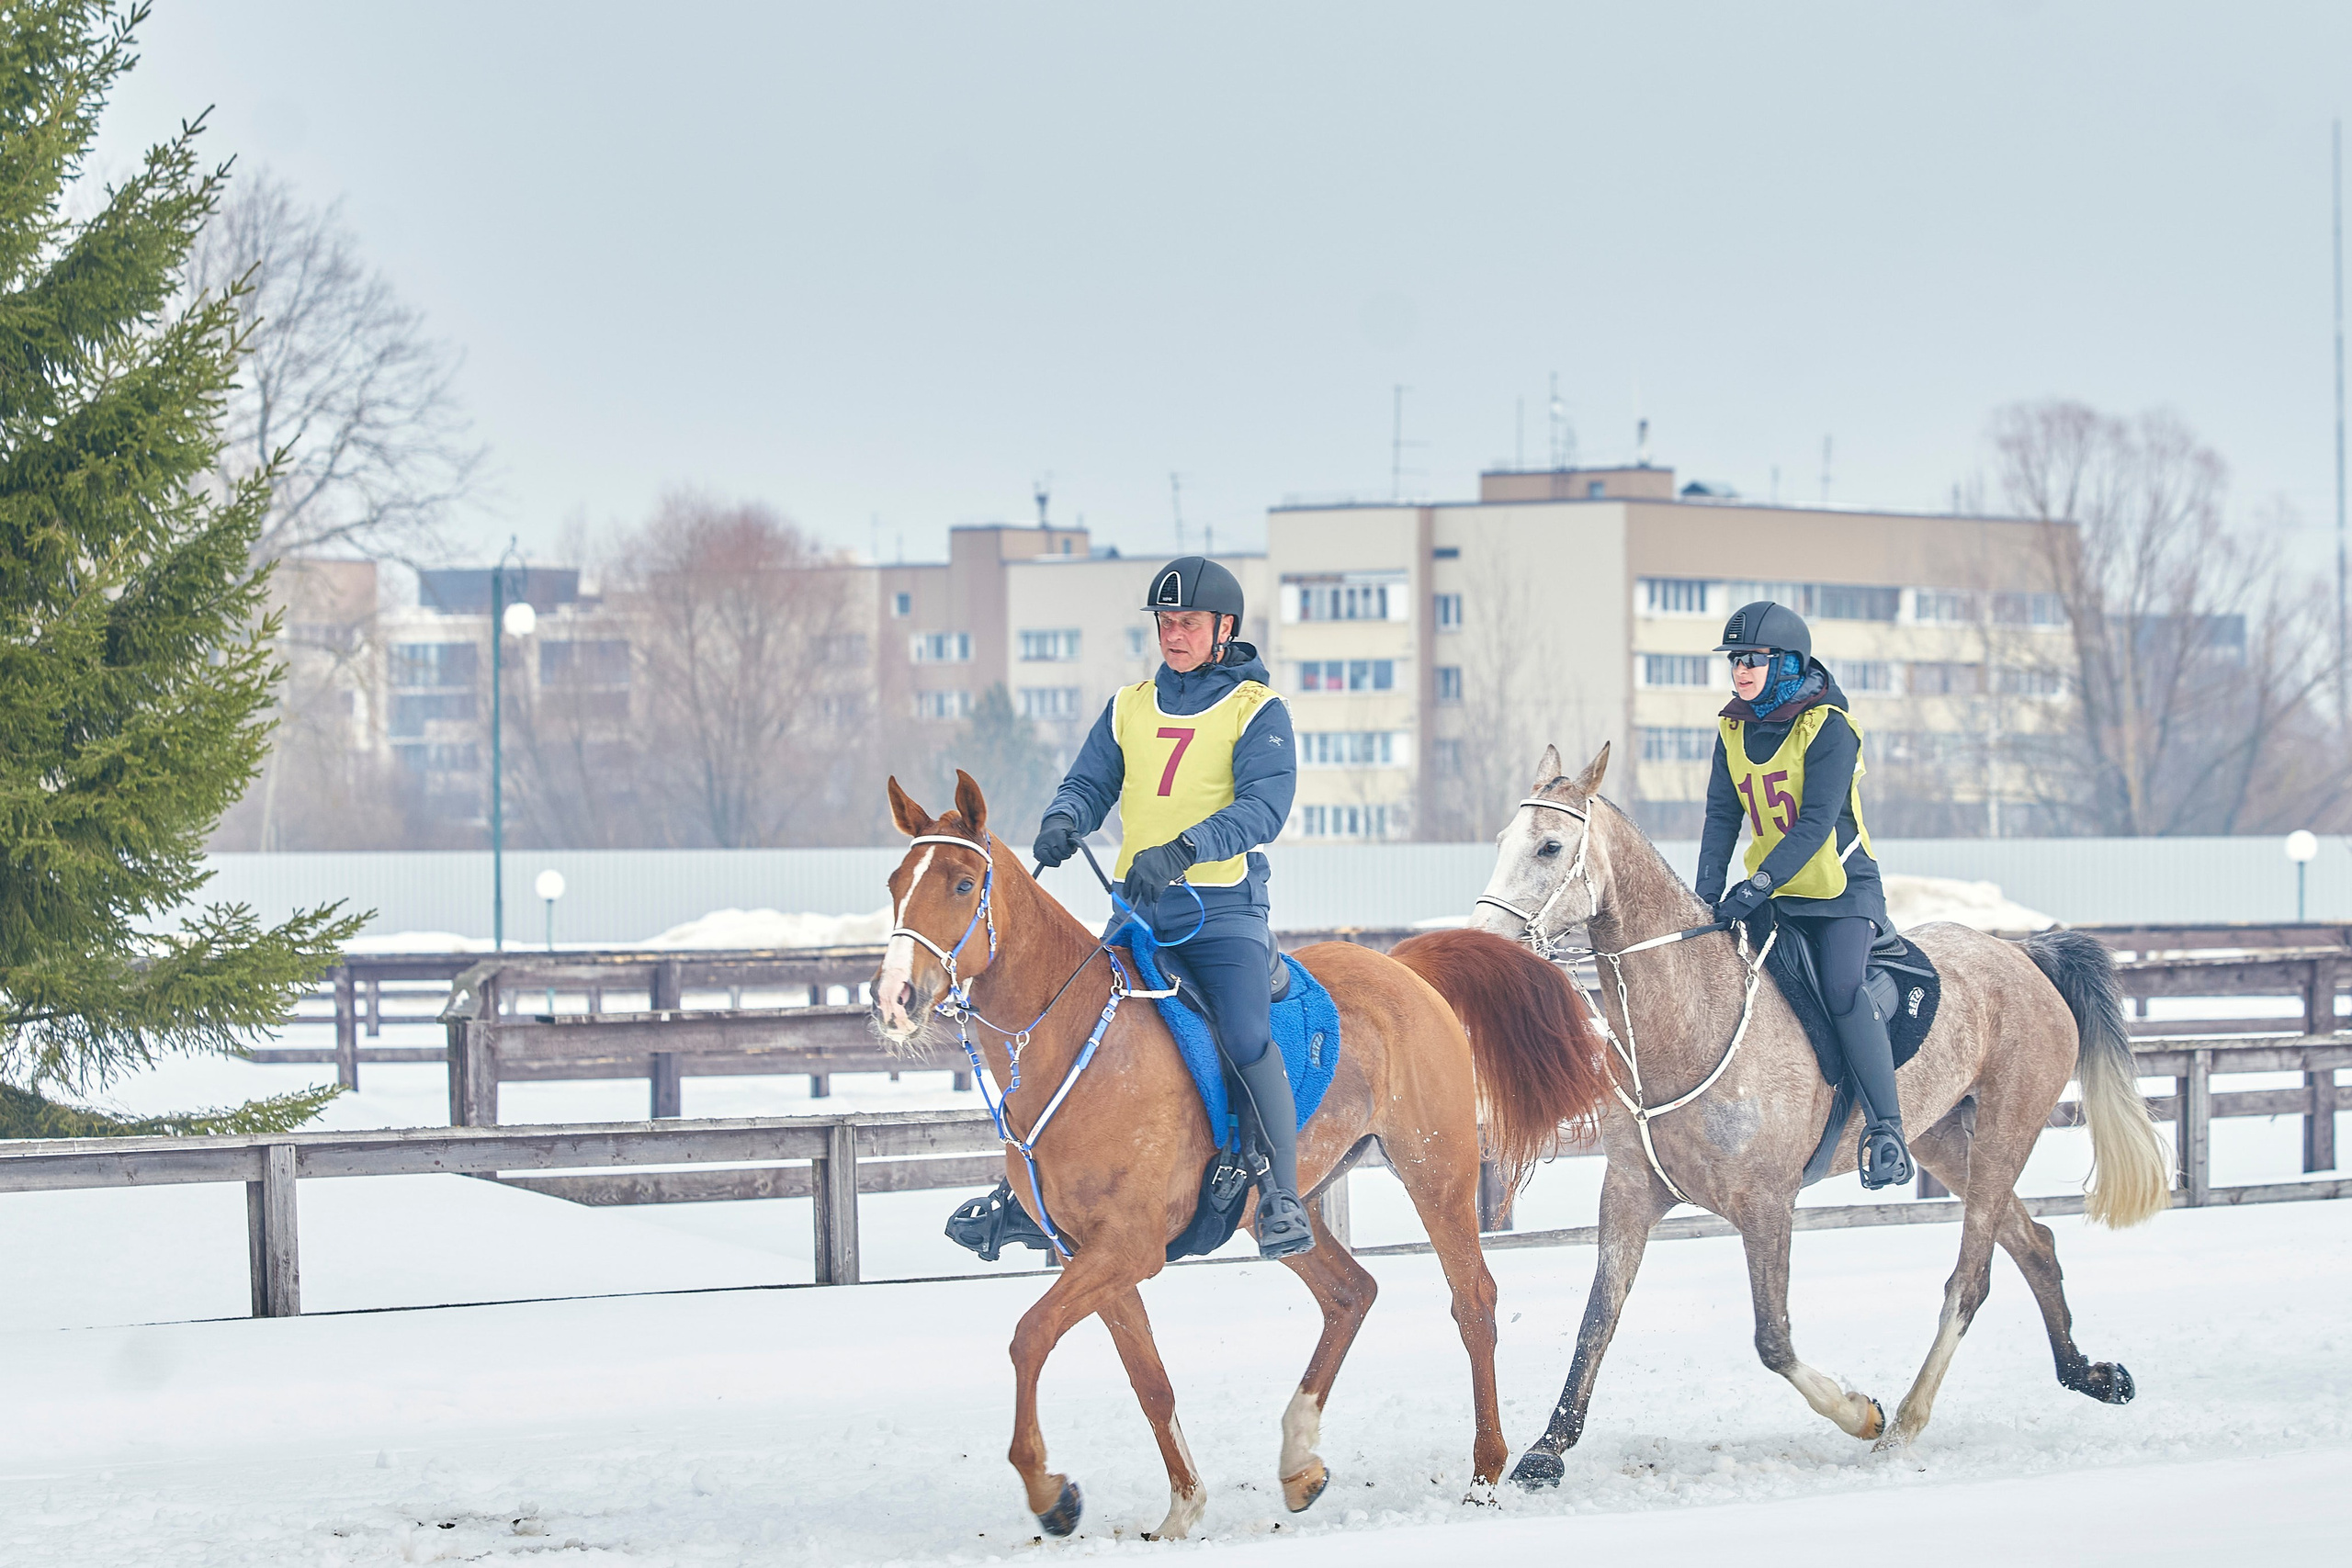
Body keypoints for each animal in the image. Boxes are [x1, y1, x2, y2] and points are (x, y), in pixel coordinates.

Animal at [869, 771, 1609, 1538]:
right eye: (896, 882)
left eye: (962, 883)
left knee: (1473, 1303)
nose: (893, 997)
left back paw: (1485, 1472)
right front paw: (1181, 1507)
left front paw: (1050, 1491)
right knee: (1351, 1293)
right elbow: (1149, 1379)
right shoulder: (1090, 1254)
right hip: (1271, 1208)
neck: (1075, 1042)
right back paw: (1300, 1461)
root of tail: (1402, 965)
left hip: (1435, 1173)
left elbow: (1029, 1333)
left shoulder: (1129, 1247)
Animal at [1468, 744, 2173, 1483]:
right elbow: (1596, 1318)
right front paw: (1548, 1449)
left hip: (2006, 1132)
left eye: (1550, 846)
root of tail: (2023, 953)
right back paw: (2090, 1375)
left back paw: (1906, 1423)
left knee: (1970, 1281)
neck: (1690, 1016)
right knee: (2036, 1245)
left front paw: (1861, 1412)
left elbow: (1772, 1338)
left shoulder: (1766, 1205)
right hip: (1949, 1142)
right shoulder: (1631, 1192)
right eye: (1504, 840)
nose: (1483, 940)